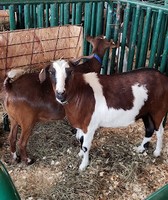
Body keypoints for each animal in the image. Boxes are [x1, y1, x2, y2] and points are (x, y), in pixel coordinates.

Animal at [3, 35, 115, 165]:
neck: (89, 66)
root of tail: (10, 87)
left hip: (13, 118)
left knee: (11, 138)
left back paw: (15, 157)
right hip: (27, 120)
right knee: (21, 142)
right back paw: (28, 160)